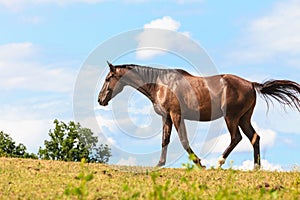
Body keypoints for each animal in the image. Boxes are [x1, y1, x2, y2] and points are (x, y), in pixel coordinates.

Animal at [98, 62, 300, 169]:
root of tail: (251, 84)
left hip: (231, 118)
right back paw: (256, 168)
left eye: (108, 78)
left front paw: (199, 164)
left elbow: (183, 140)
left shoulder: (176, 115)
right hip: (244, 118)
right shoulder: (166, 117)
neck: (160, 84)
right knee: (254, 138)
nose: (100, 99)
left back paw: (219, 163)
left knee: (236, 138)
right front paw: (159, 164)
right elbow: (165, 140)